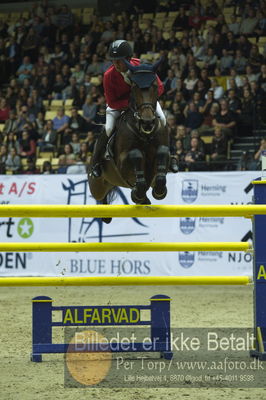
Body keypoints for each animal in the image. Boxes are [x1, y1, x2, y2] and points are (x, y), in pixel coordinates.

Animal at [88, 59, 169, 222]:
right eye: (134, 88)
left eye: (155, 86)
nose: (147, 122)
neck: (145, 133)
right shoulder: (123, 162)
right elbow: (135, 155)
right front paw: (138, 192)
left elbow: (163, 152)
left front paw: (159, 191)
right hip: (97, 185)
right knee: (100, 194)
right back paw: (105, 213)